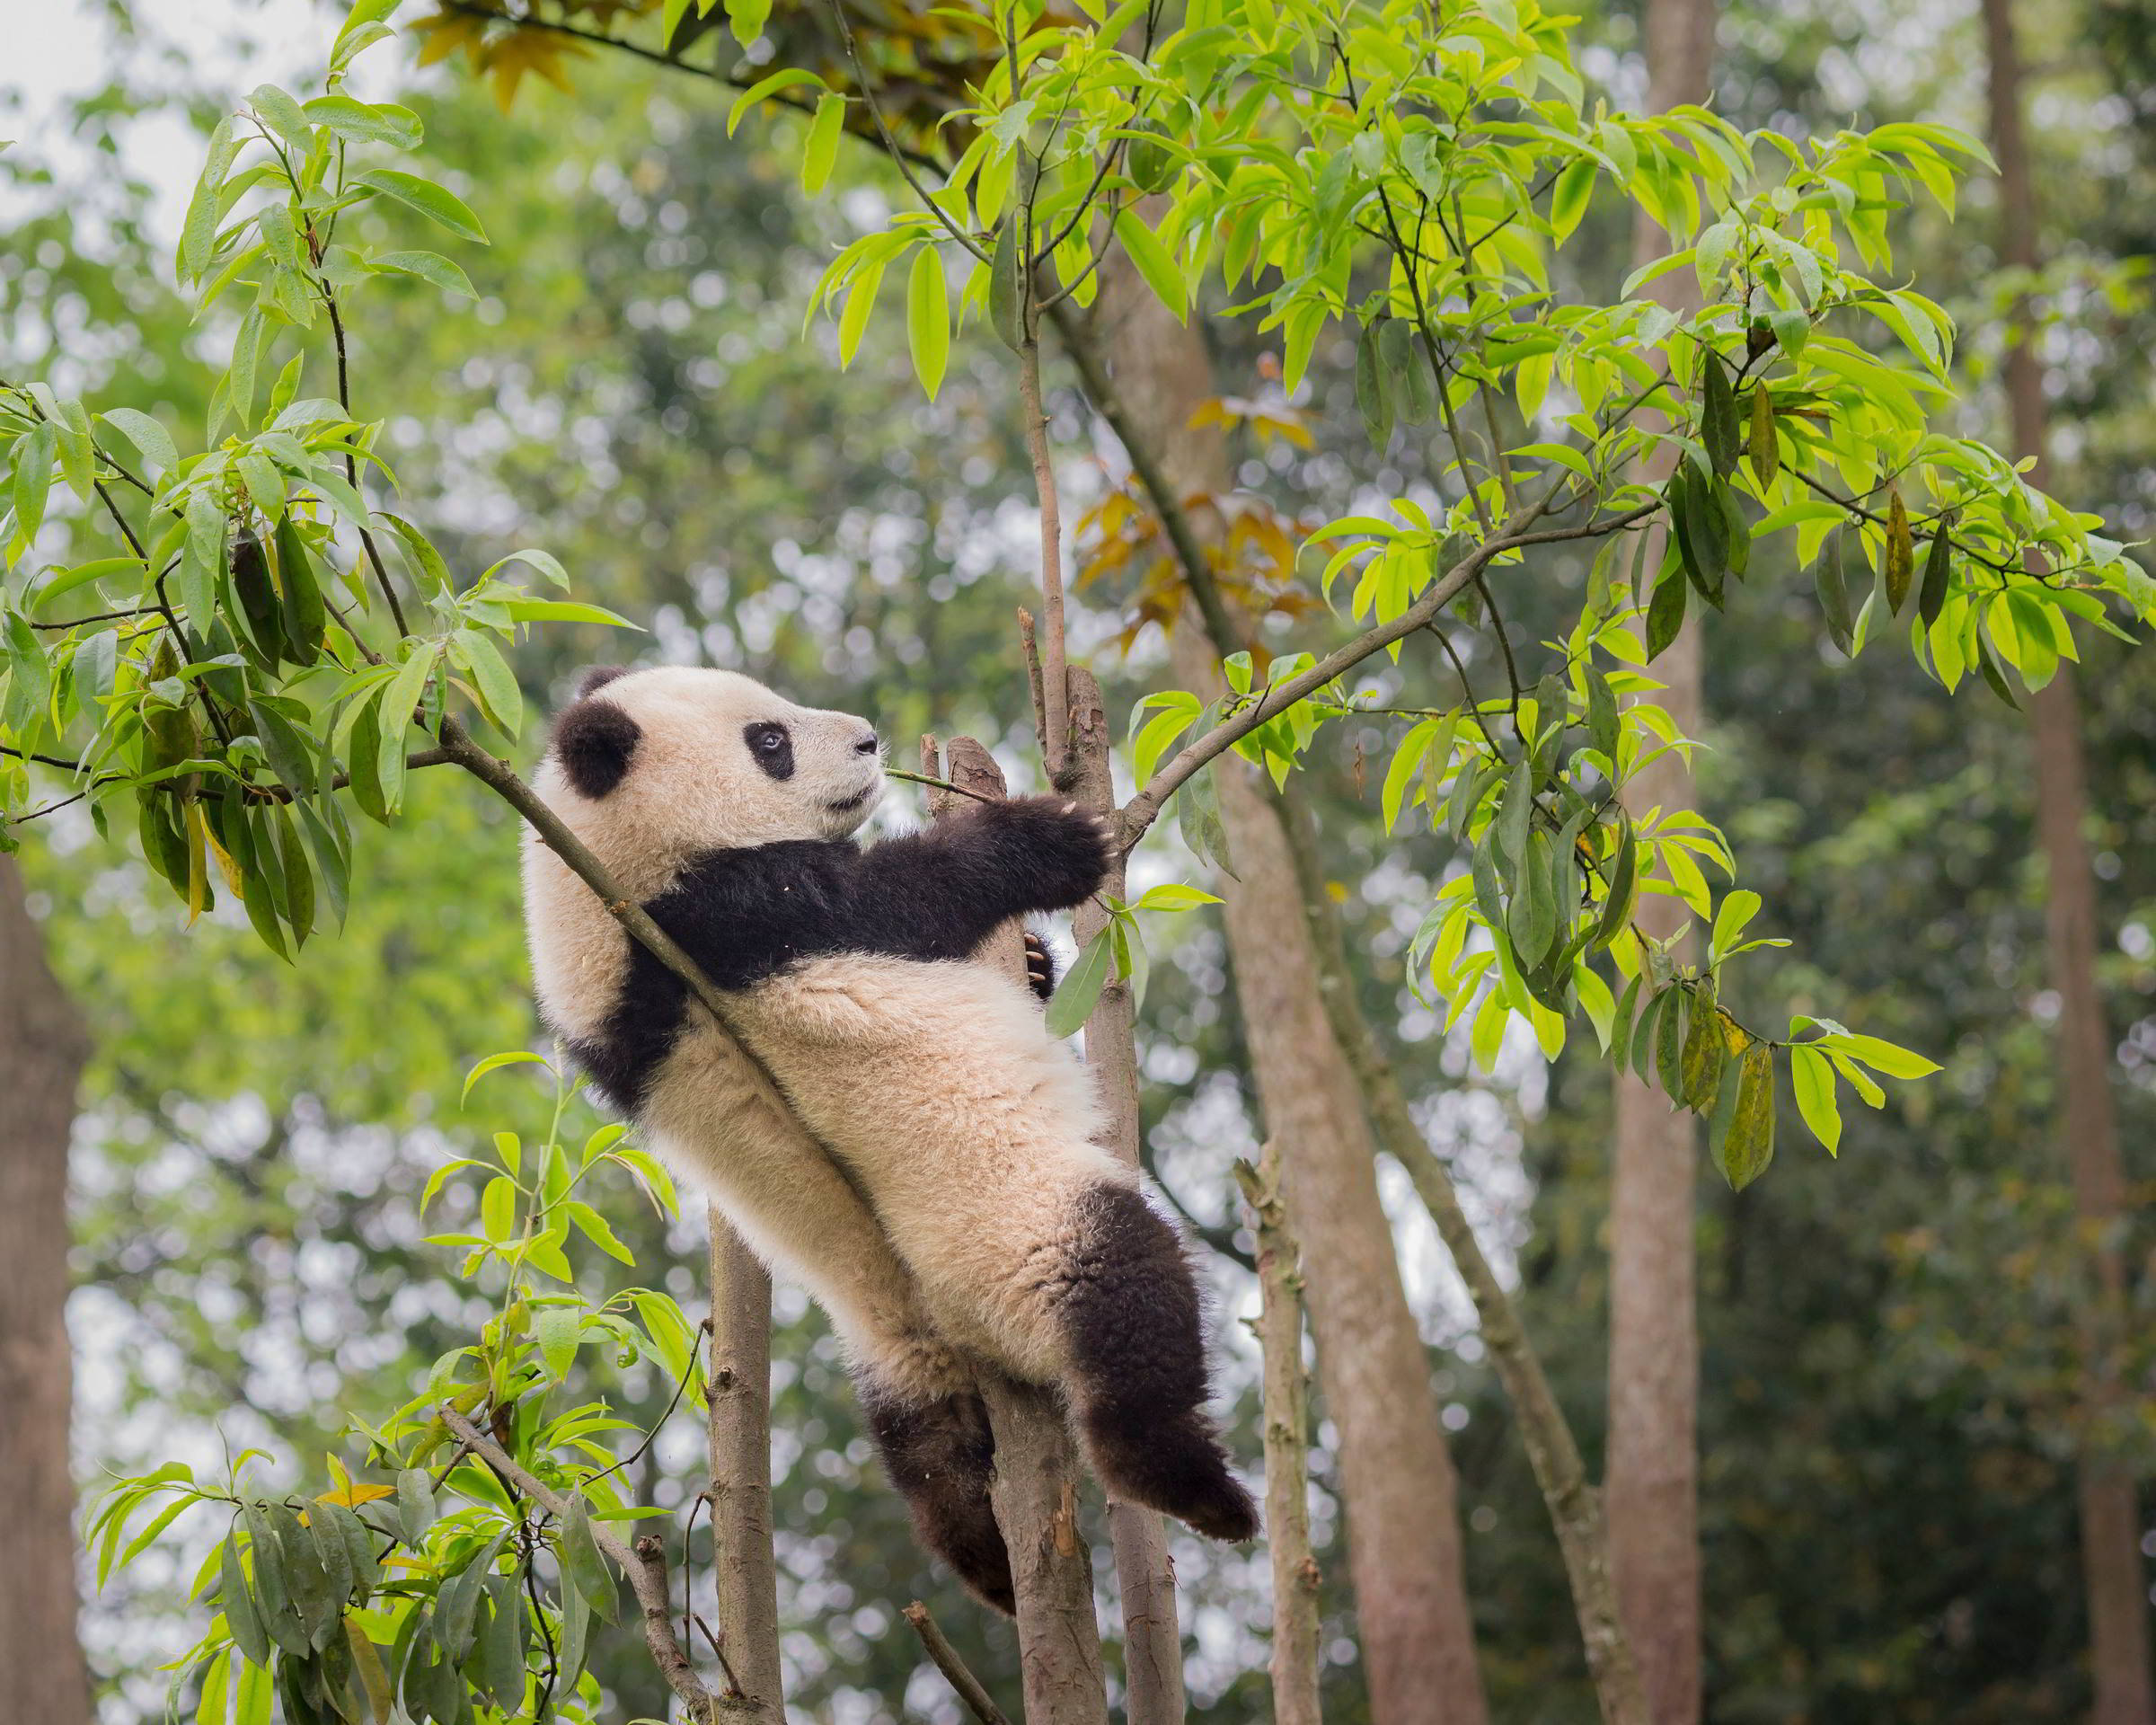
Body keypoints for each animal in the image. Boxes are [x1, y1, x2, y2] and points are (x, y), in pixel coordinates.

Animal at [521, 668, 1259, 1613]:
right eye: (770, 741)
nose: (870, 740)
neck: (598, 896)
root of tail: (960, 1323)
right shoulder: (726, 914)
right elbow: (900, 898)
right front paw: (1055, 838)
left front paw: (1033, 961)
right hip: (1012, 1228)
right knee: (1124, 1292)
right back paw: (1195, 1489)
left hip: (893, 1339)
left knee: (928, 1450)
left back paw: (992, 1565)